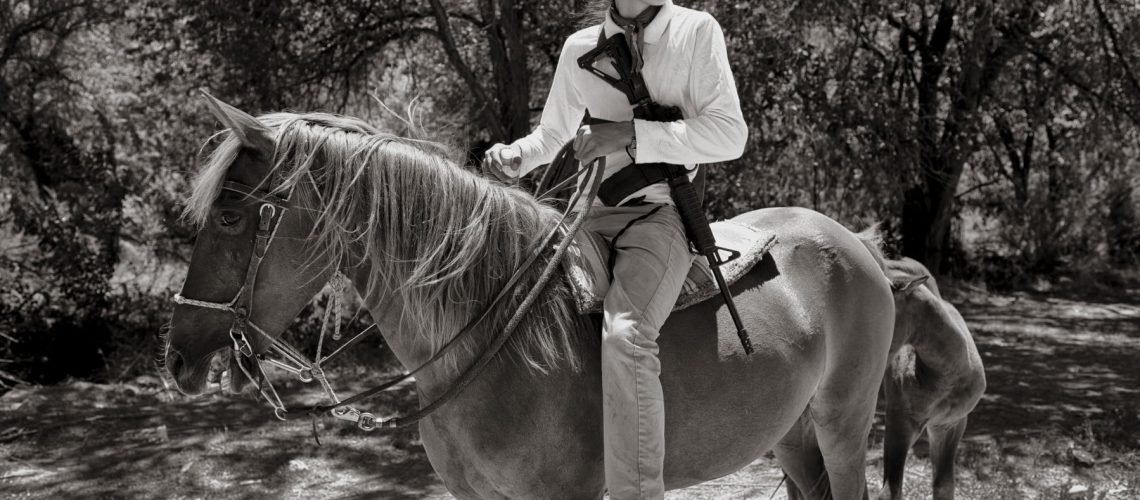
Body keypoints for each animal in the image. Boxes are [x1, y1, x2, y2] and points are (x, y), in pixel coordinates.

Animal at [165, 95, 898, 500]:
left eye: (228, 215)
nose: (176, 360)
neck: (493, 345)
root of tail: (852, 242)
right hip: (793, 434)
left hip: (843, 422)